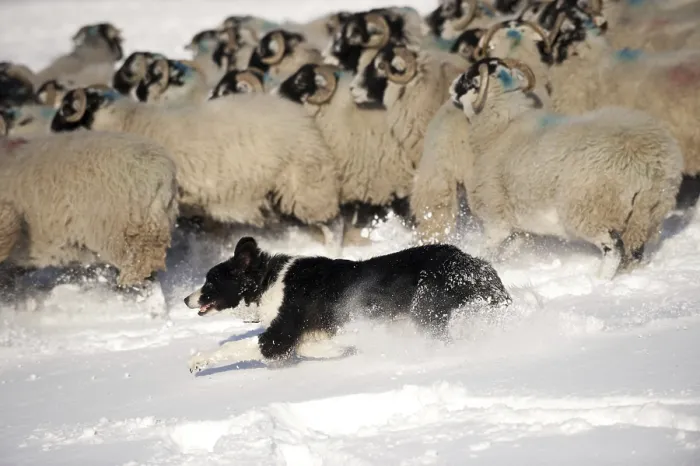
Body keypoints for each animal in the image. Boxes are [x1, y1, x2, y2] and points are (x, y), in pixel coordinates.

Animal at [49, 87, 344, 245]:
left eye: (66, 109)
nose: (50, 131)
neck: (128, 123)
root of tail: (303, 117)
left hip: (306, 183)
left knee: (328, 222)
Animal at [449, 57, 683, 278]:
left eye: (467, 78)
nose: (451, 87)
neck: (501, 126)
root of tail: (650, 160)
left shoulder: (496, 217)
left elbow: (487, 250)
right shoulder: (520, 226)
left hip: (590, 209)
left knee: (613, 249)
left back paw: (601, 281)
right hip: (644, 216)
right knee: (634, 252)